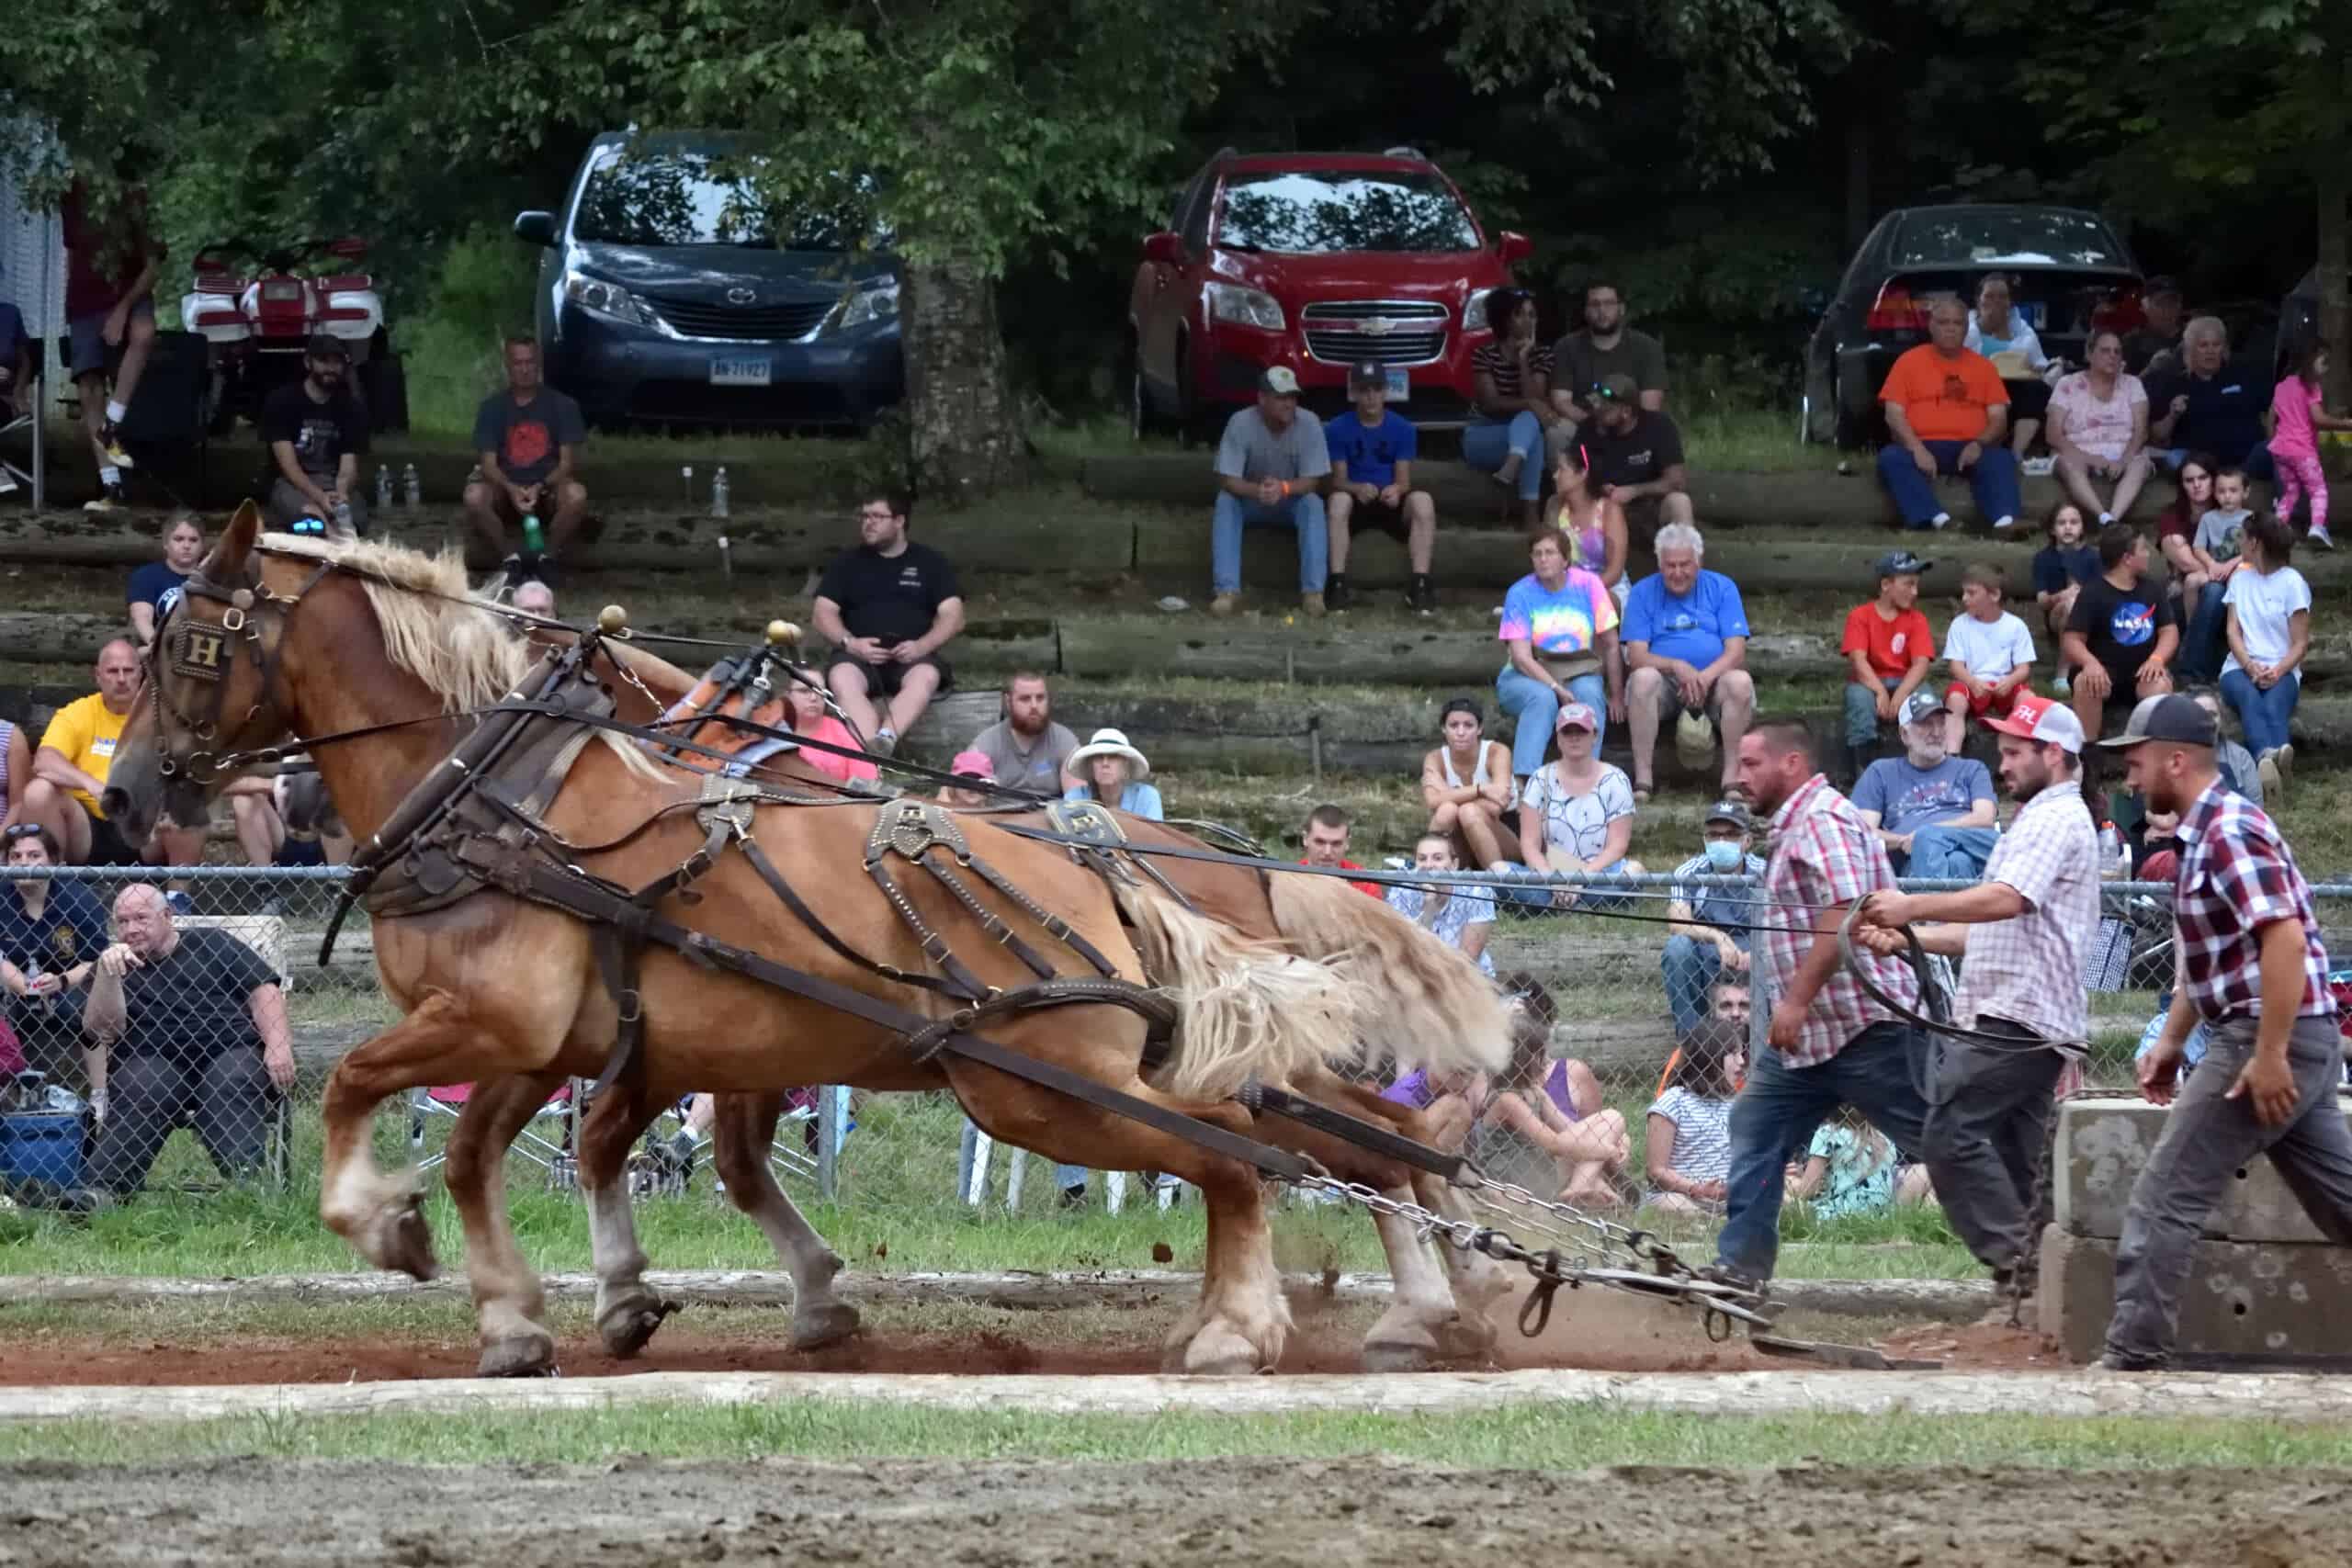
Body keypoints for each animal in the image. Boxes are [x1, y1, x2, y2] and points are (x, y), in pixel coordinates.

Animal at [101, 512, 1505, 1372]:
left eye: (188, 646)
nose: (123, 792)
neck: (498, 792)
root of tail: (1120, 865)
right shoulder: (576, 1036)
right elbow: (507, 1151)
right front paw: (543, 1311)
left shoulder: (507, 1023)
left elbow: (362, 1087)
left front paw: (387, 1228)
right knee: (1348, 1138)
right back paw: (1418, 1300)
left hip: (1041, 1081)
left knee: (1247, 1154)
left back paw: (1258, 1323)